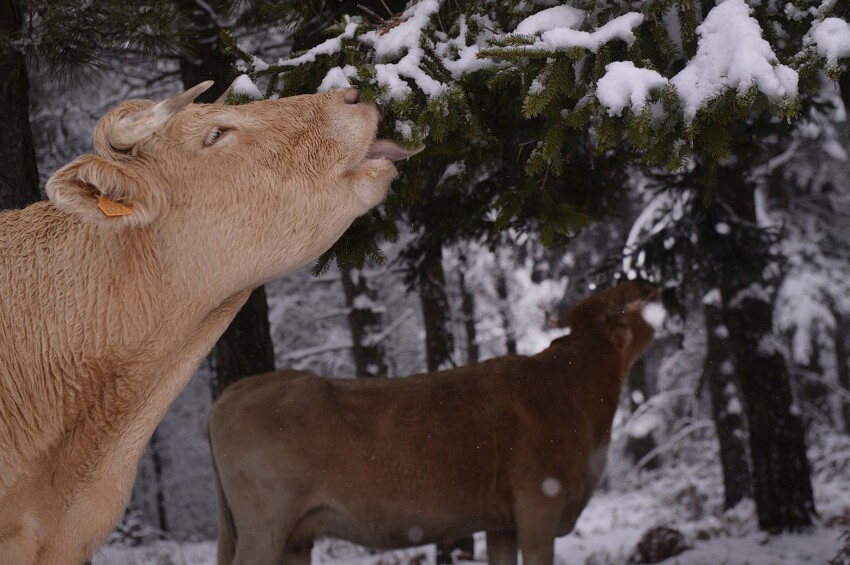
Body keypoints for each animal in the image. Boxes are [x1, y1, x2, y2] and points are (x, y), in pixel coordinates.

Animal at [209, 280, 660, 560]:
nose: (644, 281)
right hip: (263, 529)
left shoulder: (501, 524)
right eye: (621, 305)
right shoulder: (539, 507)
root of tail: (235, 390)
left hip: (295, 539)